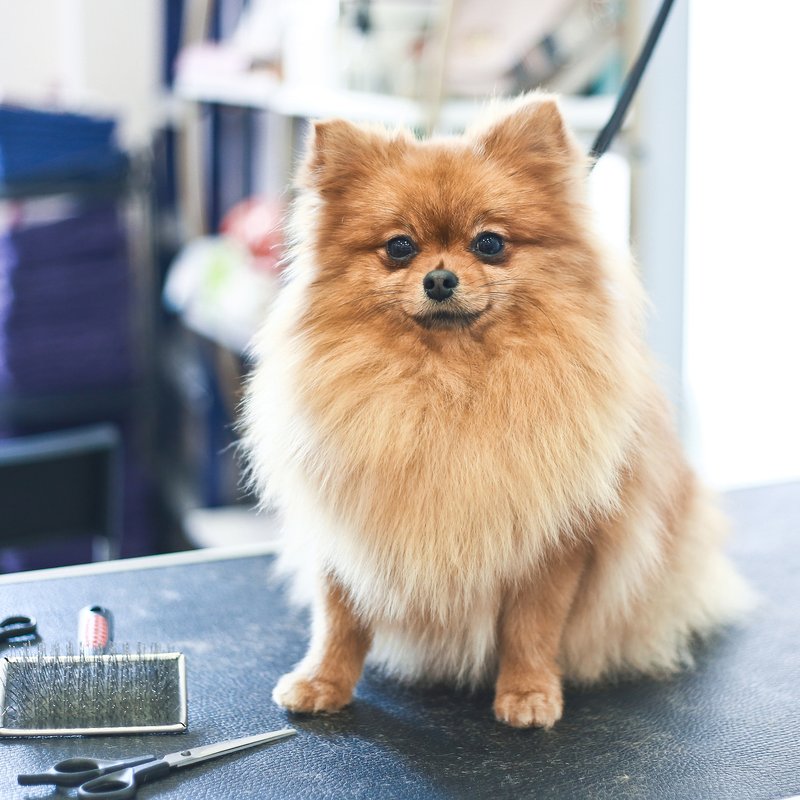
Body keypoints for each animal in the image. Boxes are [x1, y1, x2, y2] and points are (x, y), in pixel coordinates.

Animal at [241, 93, 752, 728]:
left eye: (489, 243)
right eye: (399, 247)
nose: (439, 278)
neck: (449, 383)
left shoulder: (553, 544)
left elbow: (531, 627)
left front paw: (528, 692)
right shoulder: (347, 520)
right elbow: (339, 617)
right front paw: (323, 682)